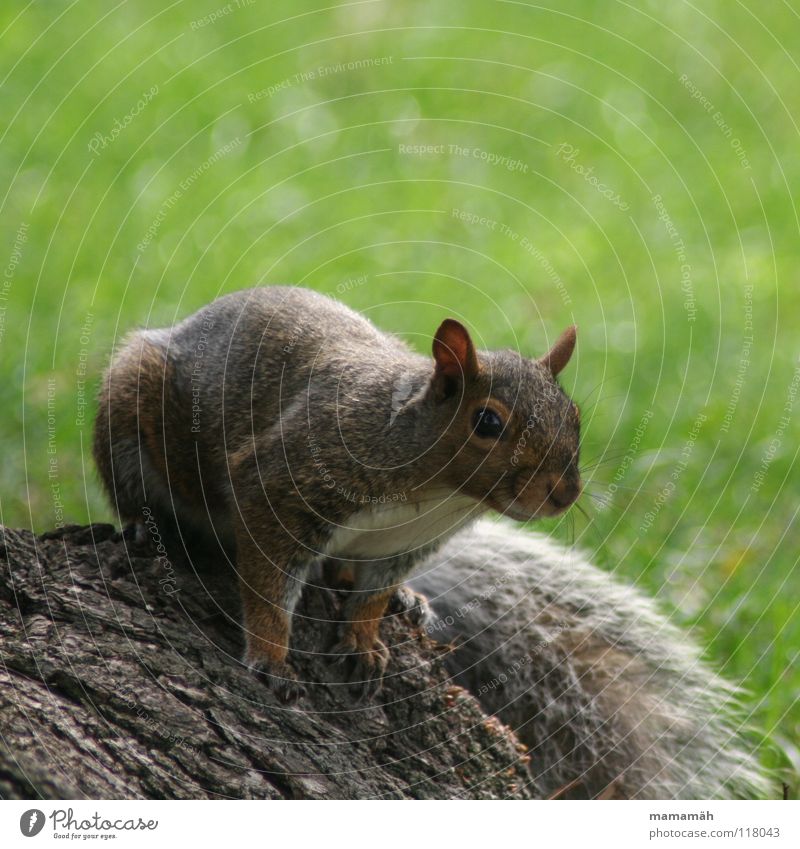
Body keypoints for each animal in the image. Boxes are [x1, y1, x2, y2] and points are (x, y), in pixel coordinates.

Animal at [94, 284, 580, 704]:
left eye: (574, 414)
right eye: (487, 422)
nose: (566, 494)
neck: (443, 496)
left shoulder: (401, 544)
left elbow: (371, 597)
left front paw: (364, 639)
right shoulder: (283, 484)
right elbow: (269, 590)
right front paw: (271, 657)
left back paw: (404, 599)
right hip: (128, 409)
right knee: (131, 492)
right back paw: (147, 527)